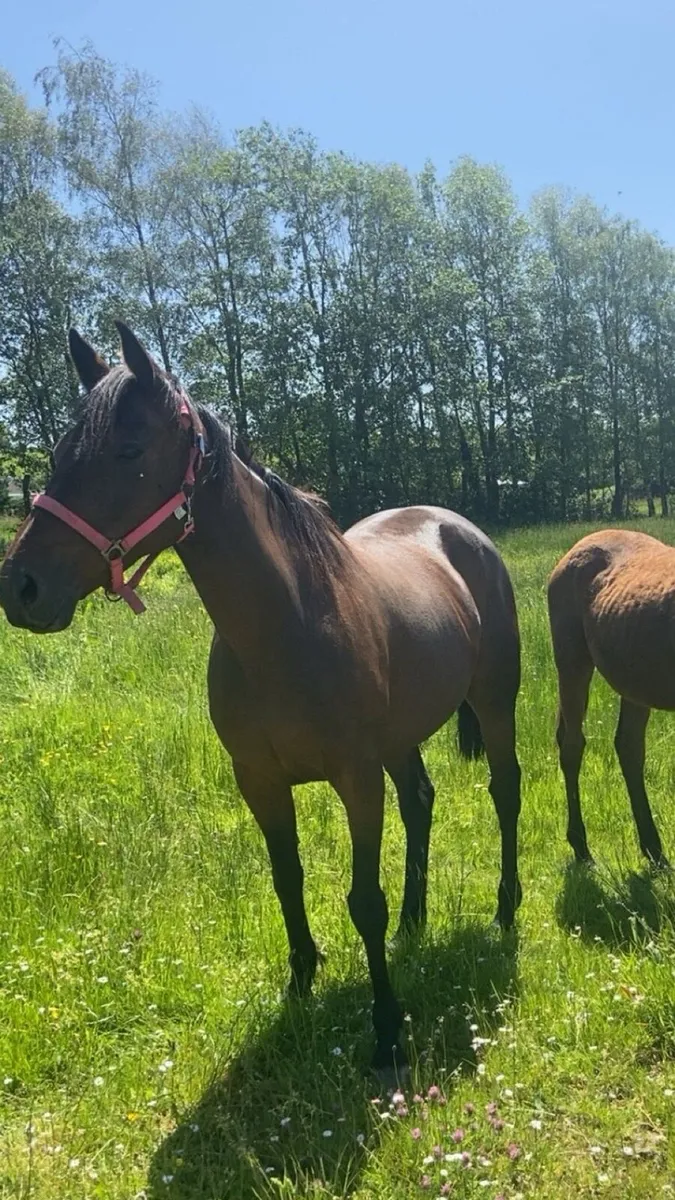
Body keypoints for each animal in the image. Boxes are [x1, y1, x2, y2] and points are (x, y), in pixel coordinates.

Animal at [0, 322, 523, 1074]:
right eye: (59, 452)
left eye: (128, 451)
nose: (21, 586)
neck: (287, 627)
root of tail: (460, 528)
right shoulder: (260, 780)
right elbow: (287, 879)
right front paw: (300, 982)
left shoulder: (354, 778)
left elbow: (363, 899)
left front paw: (386, 1033)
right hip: (400, 738)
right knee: (421, 801)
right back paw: (414, 922)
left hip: (494, 702)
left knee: (504, 790)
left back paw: (505, 910)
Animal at [548, 528, 673, 868]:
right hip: (572, 659)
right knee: (572, 745)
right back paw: (581, 846)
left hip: (635, 683)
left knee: (628, 746)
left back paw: (653, 849)